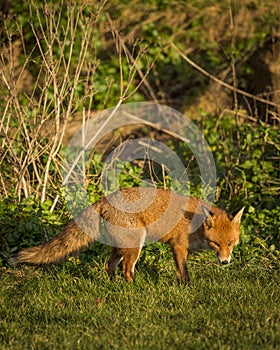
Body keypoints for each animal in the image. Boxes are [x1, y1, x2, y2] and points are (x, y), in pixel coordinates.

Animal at [10, 187, 244, 284]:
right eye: (216, 243)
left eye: (231, 243)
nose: (225, 262)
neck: (196, 226)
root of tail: (106, 198)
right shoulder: (177, 246)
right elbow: (183, 272)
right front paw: (186, 287)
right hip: (135, 245)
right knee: (126, 270)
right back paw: (135, 289)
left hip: (121, 245)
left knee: (109, 265)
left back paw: (114, 286)